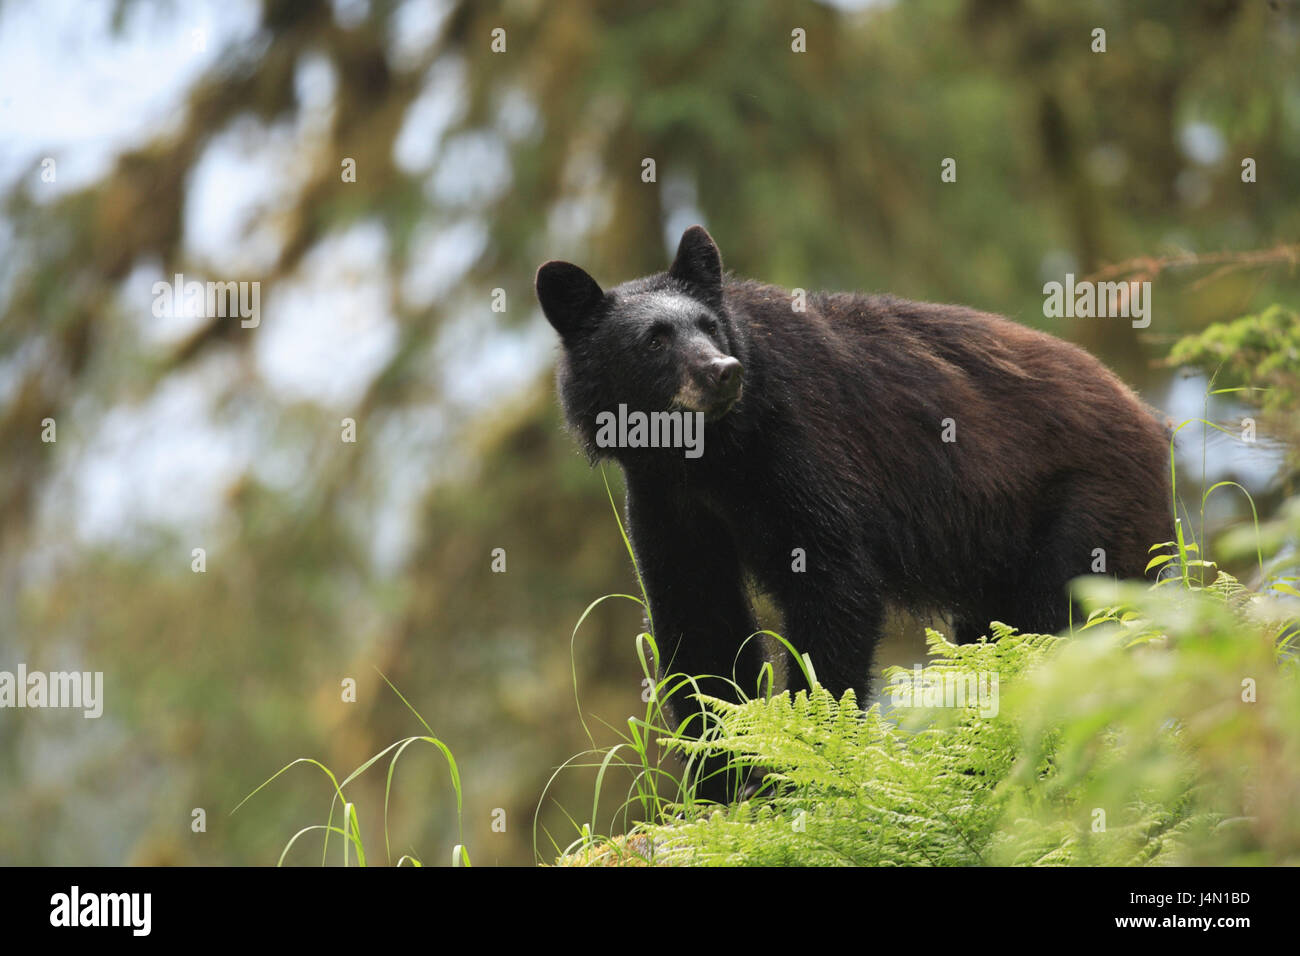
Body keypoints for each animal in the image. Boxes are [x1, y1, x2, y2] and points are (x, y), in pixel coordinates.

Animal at [533, 223, 1175, 801]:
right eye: (654, 341)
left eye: (710, 328)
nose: (722, 372)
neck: (708, 454)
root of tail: (1152, 422)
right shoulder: (665, 497)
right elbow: (698, 617)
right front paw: (720, 783)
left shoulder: (800, 443)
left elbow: (832, 581)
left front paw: (801, 767)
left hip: (1087, 511)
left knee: (1060, 627)